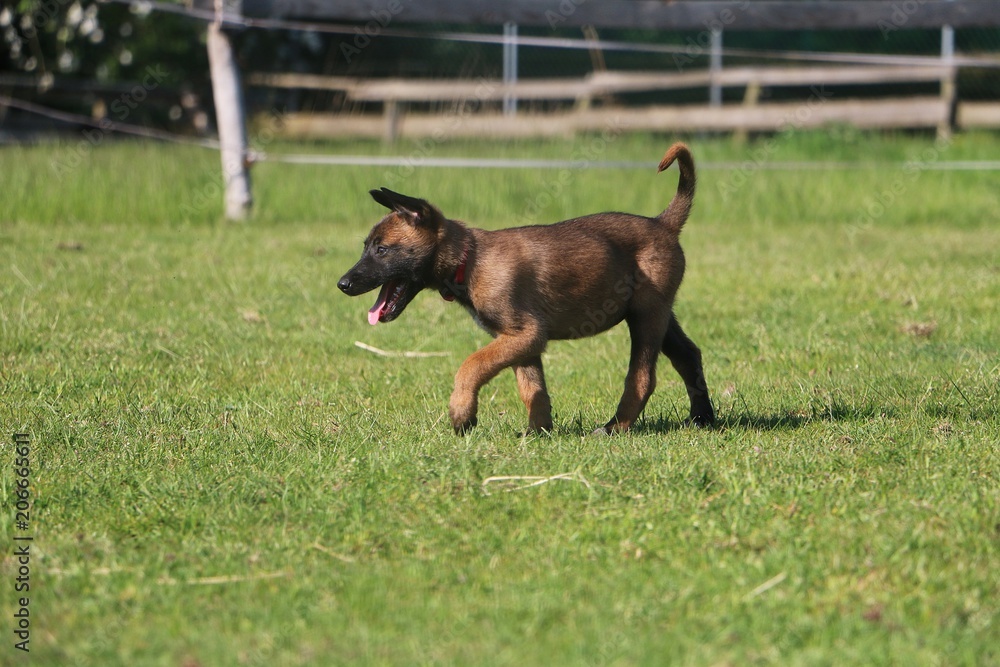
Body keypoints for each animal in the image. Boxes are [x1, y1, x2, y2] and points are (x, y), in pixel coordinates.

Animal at [338, 142, 714, 435]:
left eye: (382, 250)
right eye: (366, 247)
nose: (343, 284)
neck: (470, 260)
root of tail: (662, 223)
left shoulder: (527, 333)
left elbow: (471, 365)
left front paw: (462, 413)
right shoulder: (520, 341)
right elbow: (533, 389)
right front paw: (538, 432)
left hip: (645, 315)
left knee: (642, 377)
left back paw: (614, 428)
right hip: (660, 314)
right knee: (689, 355)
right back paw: (702, 419)